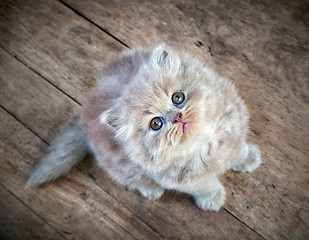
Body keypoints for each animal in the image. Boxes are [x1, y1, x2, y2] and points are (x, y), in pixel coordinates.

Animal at [27, 44, 262, 211]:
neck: (204, 144)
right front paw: (213, 199)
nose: (176, 117)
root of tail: (84, 113)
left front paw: (249, 158)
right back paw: (151, 190)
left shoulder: (234, 131)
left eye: (178, 97)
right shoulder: (184, 181)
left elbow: (239, 150)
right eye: (156, 124)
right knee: (133, 180)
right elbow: (207, 186)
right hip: (121, 167)